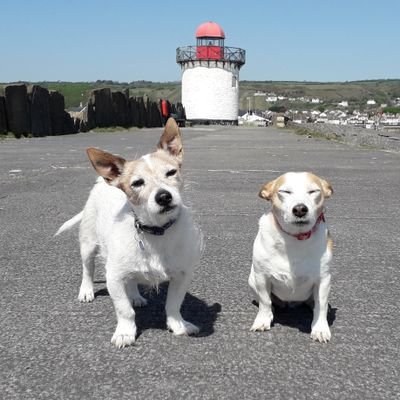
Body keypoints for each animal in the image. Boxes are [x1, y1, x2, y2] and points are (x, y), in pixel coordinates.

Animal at [54, 118, 202, 346]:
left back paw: (135, 295)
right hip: (88, 246)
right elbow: (124, 310)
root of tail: (101, 182)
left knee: (131, 278)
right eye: (137, 183)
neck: (157, 231)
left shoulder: (182, 275)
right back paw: (86, 291)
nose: (164, 197)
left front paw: (178, 325)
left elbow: (173, 305)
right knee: (88, 270)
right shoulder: (113, 277)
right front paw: (125, 332)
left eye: (171, 172)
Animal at [248, 170, 332, 342]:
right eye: (285, 192)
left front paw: (320, 329)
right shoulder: (261, 276)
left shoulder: (323, 280)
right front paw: (263, 320)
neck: (295, 238)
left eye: (313, 191)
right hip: (251, 279)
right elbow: (265, 301)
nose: (300, 209)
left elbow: (321, 305)